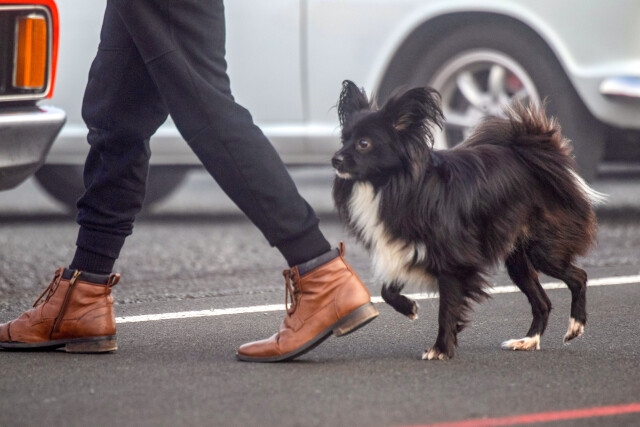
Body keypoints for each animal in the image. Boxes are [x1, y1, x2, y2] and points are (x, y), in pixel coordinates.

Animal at [331, 80, 603, 360]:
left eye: (364, 143)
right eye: (343, 140)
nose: (335, 159)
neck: (391, 185)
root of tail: (540, 154)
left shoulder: (453, 263)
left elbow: (447, 309)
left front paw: (440, 349)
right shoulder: (406, 247)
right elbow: (387, 290)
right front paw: (409, 308)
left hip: (543, 251)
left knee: (578, 276)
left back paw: (575, 326)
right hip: (517, 261)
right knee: (543, 302)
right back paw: (529, 340)